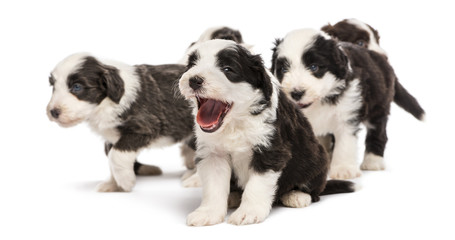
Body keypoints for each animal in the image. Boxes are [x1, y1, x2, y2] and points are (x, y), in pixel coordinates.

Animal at [46, 53, 196, 192]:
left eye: (77, 87)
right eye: (53, 86)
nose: (53, 112)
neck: (107, 101)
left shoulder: (146, 128)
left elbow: (116, 155)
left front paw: (125, 182)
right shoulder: (112, 137)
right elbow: (111, 156)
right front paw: (113, 185)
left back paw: (192, 180)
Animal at [179, 39, 356, 225]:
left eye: (227, 69)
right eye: (192, 65)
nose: (194, 80)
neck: (235, 123)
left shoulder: (270, 152)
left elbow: (256, 186)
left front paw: (248, 212)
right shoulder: (213, 155)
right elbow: (214, 187)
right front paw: (208, 213)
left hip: (316, 159)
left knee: (314, 191)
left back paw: (296, 196)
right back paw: (233, 197)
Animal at [270, 28, 428, 178]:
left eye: (314, 67)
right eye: (283, 69)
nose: (296, 93)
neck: (320, 101)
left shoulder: (348, 112)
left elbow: (345, 143)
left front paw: (343, 169)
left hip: (378, 106)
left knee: (378, 132)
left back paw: (373, 161)